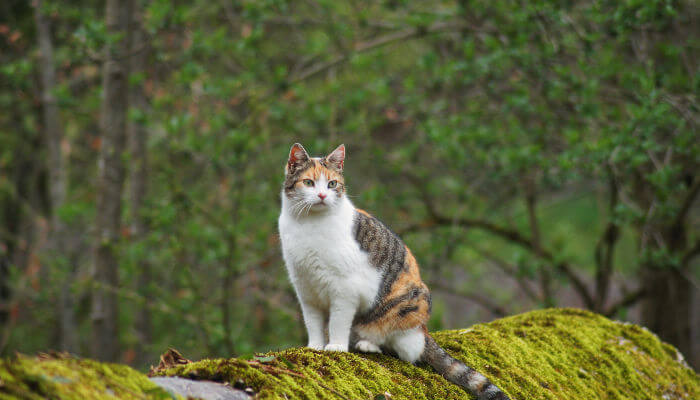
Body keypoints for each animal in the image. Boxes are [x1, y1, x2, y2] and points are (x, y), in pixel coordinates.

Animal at [278, 144, 508, 400]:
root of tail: (424, 330)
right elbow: (313, 322)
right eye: (309, 183)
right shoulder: (305, 288)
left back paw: (368, 343)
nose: (321, 196)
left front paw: (336, 346)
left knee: (406, 350)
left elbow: (338, 320)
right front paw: (316, 346)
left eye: (332, 184)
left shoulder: (344, 289)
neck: (310, 225)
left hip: (410, 301)